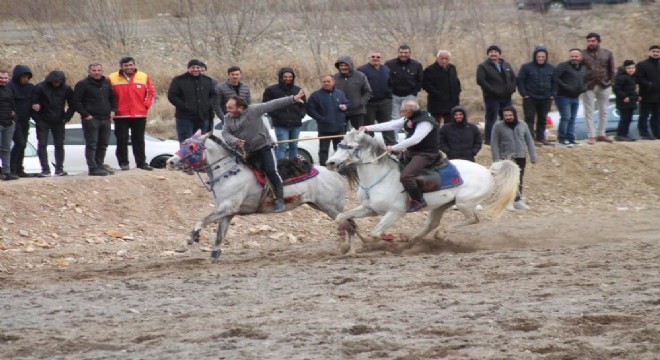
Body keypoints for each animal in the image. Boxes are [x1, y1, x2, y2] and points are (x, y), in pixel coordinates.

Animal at [168, 132, 358, 262]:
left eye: (191, 147)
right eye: (184, 143)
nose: (170, 161)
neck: (229, 172)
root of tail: (336, 172)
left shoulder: (227, 207)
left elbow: (201, 220)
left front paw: (185, 243)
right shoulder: (227, 212)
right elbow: (220, 235)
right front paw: (214, 256)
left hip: (331, 207)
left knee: (350, 225)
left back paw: (351, 249)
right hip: (320, 205)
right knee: (350, 224)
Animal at [326, 129, 520, 256]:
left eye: (350, 146)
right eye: (339, 144)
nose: (330, 163)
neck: (379, 177)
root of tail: (488, 171)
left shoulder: (395, 212)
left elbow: (374, 233)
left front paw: (386, 240)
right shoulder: (369, 209)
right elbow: (341, 217)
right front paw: (347, 246)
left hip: (464, 203)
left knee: (472, 219)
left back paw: (437, 234)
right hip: (442, 205)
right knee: (432, 224)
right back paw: (410, 241)